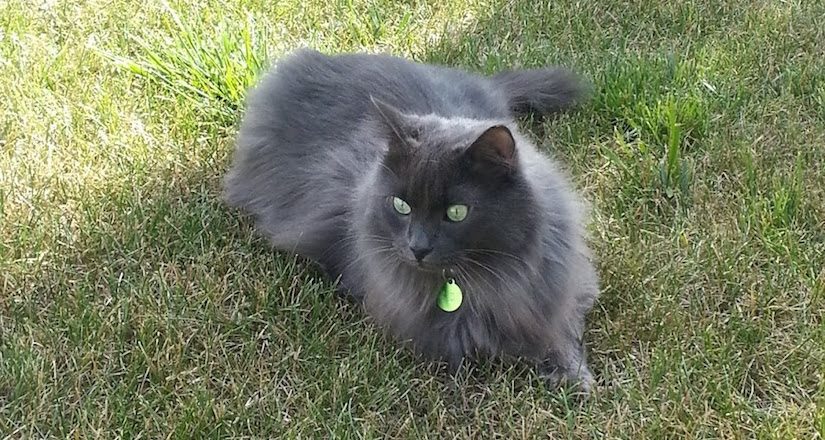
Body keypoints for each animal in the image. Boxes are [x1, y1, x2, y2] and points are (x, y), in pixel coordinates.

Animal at [225, 49, 600, 392]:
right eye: (401, 206)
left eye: (456, 212)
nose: (418, 247)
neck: (486, 282)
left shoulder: (564, 285)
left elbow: (563, 330)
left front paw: (574, 375)